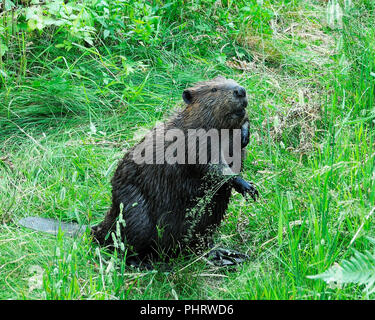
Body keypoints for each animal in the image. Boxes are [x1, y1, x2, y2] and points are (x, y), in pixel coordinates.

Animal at [17, 77, 258, 268]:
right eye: (215, 89)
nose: (240, 90)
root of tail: (97, 228)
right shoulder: (192, 141)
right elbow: (211, 166)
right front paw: (247, 187)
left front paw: (245, 135)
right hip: (137, 215)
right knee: (124, 247)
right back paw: (143, 264)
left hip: (210, 219)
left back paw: (227, 255)